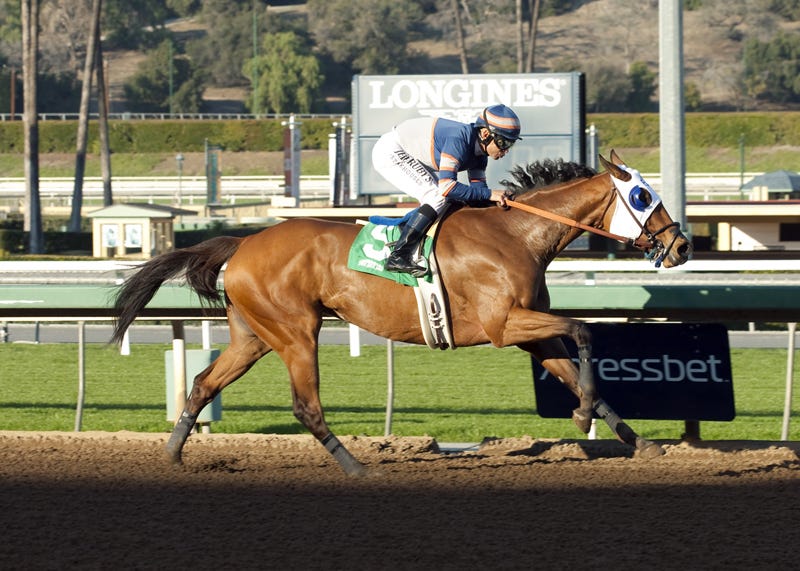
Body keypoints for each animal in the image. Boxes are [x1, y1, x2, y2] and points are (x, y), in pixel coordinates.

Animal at [111, 151, 693, 476]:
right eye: (644, 196)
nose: (682, 246)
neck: (516, 233)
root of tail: (244, 242)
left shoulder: (532, 333)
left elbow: (577, 372)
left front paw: (639, 441)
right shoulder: (504, 325)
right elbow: (585, 329)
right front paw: (583, 416)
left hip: (253, 335)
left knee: (204, 383)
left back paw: (173, 456)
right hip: (296, 331)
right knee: (305, 406)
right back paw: (356, 467)